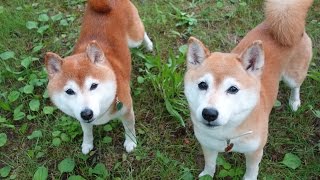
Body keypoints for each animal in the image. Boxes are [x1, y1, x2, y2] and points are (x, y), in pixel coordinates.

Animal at [44, 0, 153, 155]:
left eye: (93, 85)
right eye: (69, 91)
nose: (86, 113)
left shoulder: (127, 111)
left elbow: (129, 129)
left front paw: (131, 143)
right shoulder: (82, 119)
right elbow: (87, 132)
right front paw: (87, 144)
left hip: (134, 39)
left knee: (142, 33)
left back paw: (149, 45)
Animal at [185, 0, 312, 179]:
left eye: (233, 89)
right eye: (202, 85)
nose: (209, 113)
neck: (226, 135)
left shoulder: (255, 150)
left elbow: (252, 169)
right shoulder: (208, 145)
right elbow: (210, 164)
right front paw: (207, 175)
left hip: (293, 76)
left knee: (296, 86)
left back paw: (294, 102)